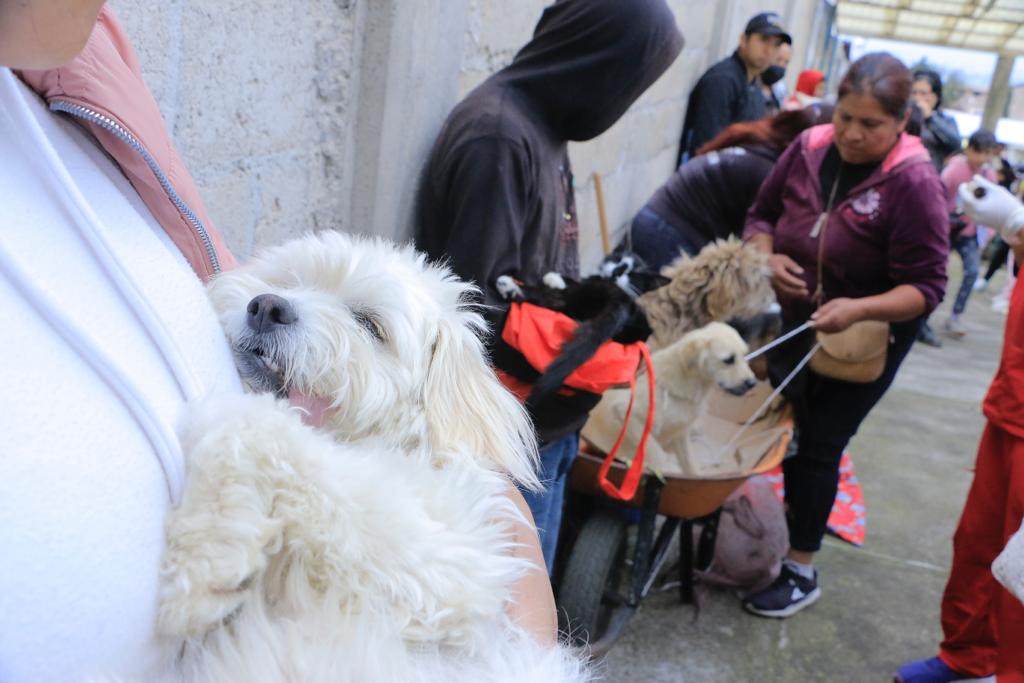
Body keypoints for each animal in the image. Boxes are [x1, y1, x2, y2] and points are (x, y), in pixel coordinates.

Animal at [154, 232, 589, 679]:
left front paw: (201, 566)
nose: (267, 306)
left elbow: (261, 428)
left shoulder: (447, 564)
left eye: (368, 325)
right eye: (289, 281)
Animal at [581, 321, 757, 479]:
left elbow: (690, 464)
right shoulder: (627, 413)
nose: (752, 383)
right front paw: (665, 469)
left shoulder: (681, 432)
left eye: (744, 355)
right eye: (728, 360)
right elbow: (655, 451)